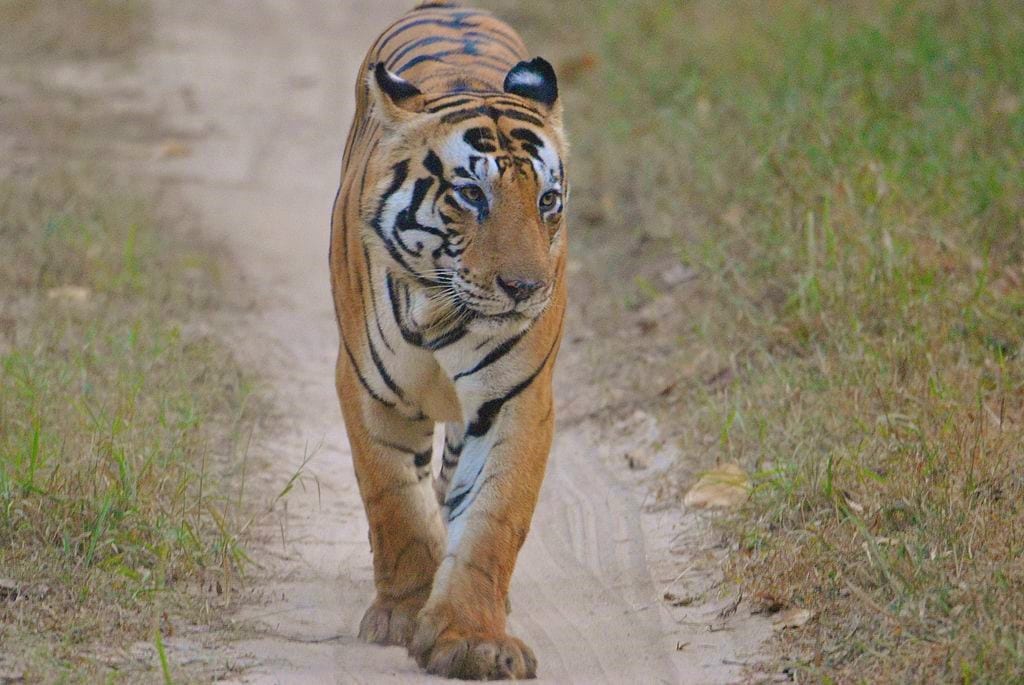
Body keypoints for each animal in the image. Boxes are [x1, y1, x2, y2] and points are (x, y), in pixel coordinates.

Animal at [329, 0, 565, 679]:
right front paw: (404, 613)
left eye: (547, 200)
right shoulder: (367, 389)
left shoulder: (516, 401)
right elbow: (395, 504)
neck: (443, 311)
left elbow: (490, 519)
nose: (526, 288)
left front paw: (472, 637)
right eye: (471, 194)